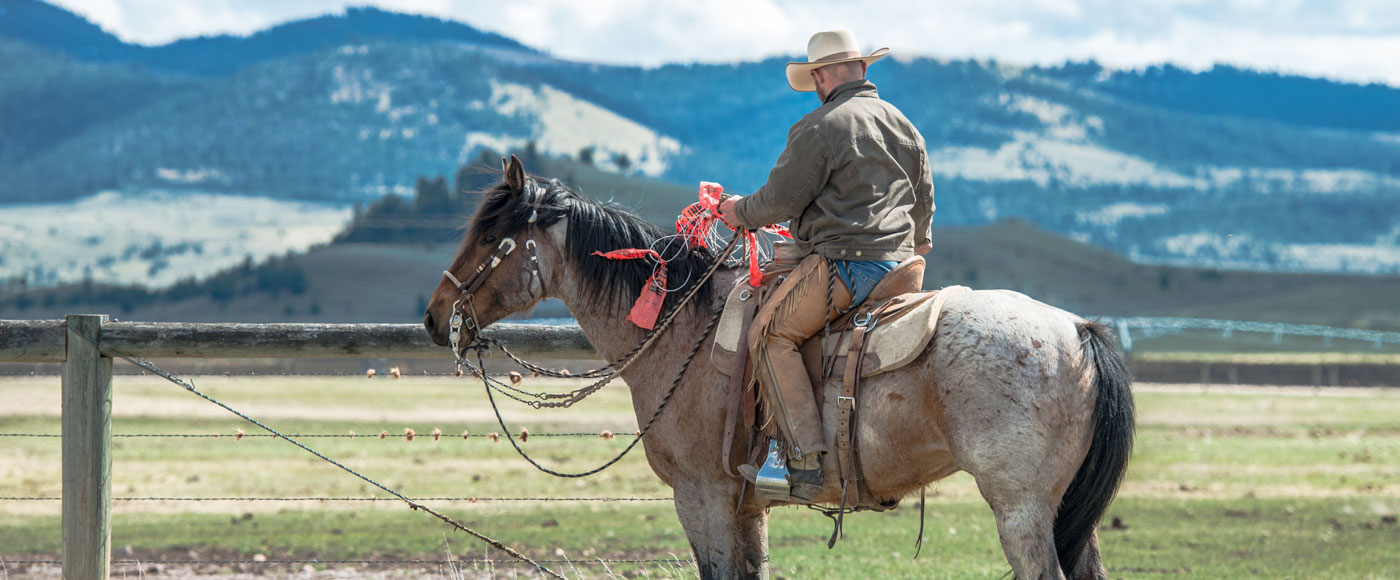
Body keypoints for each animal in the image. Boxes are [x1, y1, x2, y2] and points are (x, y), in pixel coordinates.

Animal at [422, 155, 1136, 580]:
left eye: (491, 237)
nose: (435, 317)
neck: (678, 327)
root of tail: (1078, 332)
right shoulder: (746, 506)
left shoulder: (702, 494)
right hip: (1065, 514)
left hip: (1020, 507)